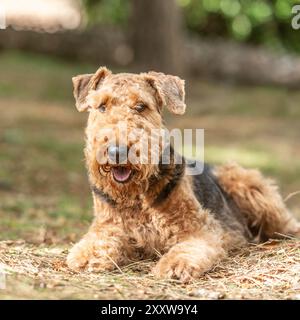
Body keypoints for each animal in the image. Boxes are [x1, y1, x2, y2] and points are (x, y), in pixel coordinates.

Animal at [66, 66, 300, 282]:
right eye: (102, 106)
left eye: (141, 106)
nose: (117, 152)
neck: (137, 196)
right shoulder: (107, 226)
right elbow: (97, 242)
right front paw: (86, 257)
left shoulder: (200, 229)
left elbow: (186, 249)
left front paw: (175, 266)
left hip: (244, 183)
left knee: (287, 224)